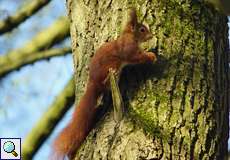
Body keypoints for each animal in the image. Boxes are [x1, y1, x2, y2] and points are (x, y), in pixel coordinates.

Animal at [52, 9, 156, 160]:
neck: (130, 36)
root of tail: (93, 83)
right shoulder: (128, 49)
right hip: (112, 66)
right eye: (142, 29)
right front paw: (151, 56)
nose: (151, 36)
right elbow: (136, 57)